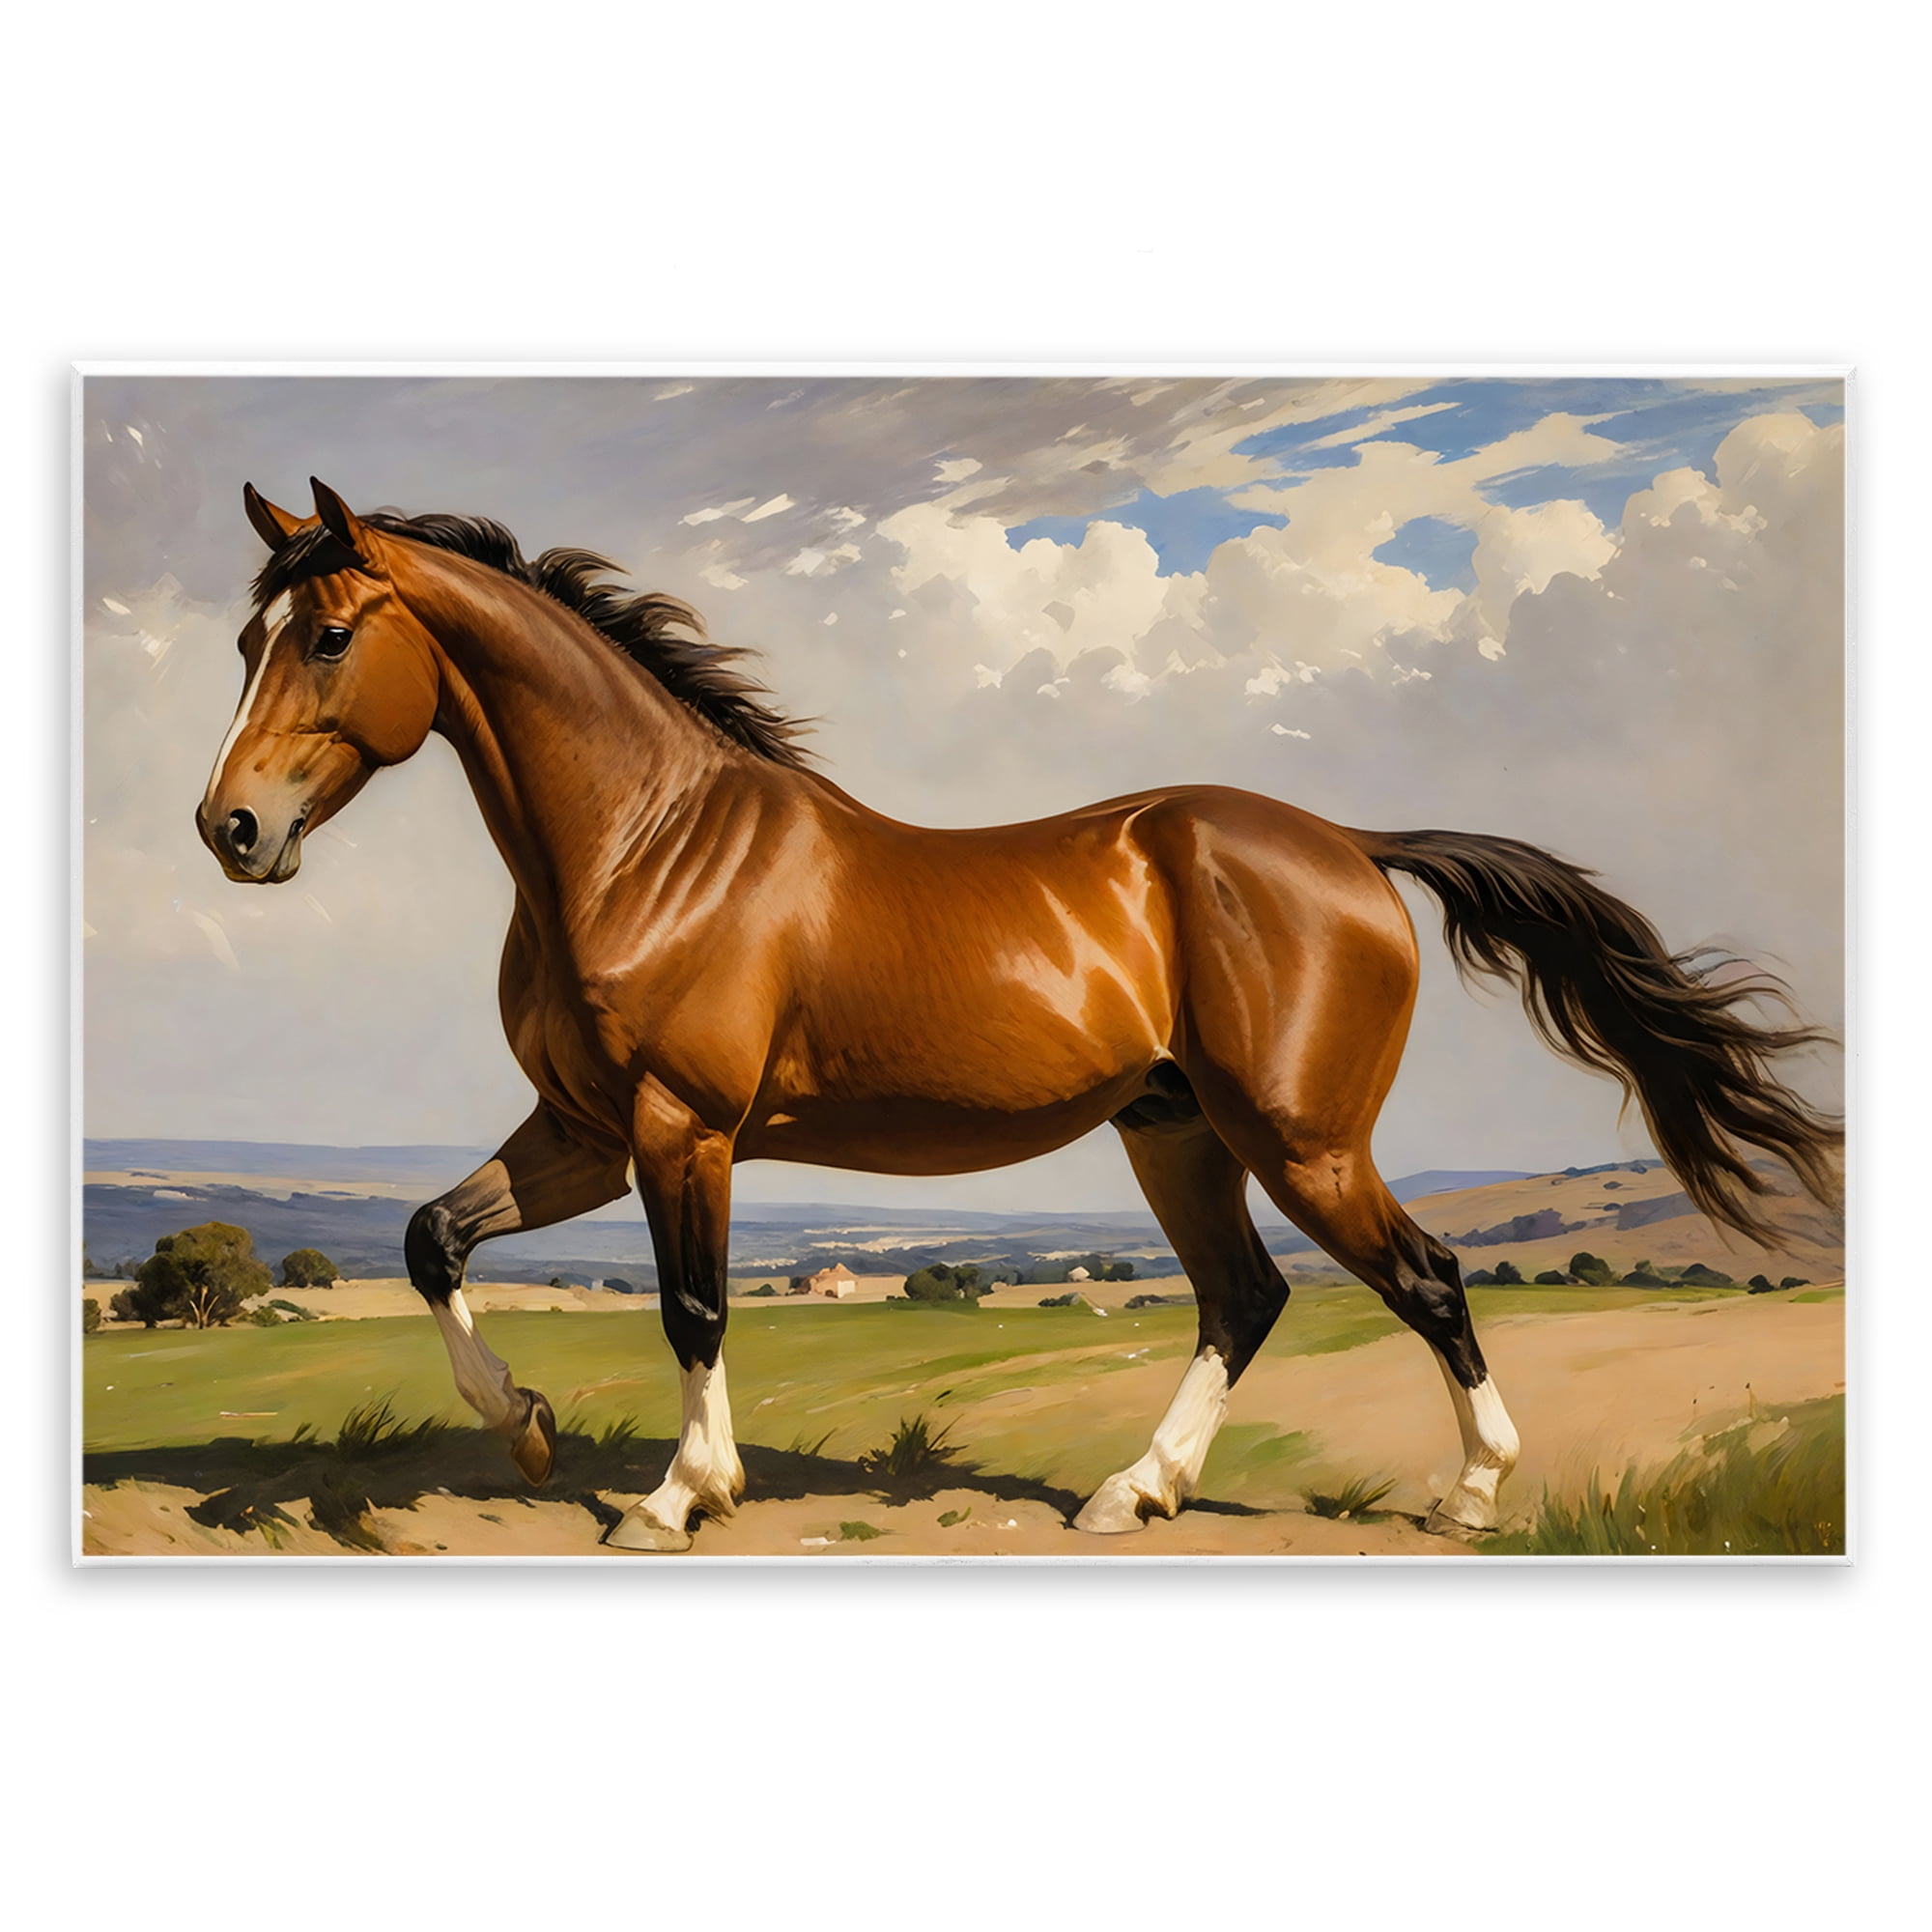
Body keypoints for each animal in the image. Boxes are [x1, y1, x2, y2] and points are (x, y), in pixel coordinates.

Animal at [195, 479, 1843, 1551]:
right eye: (244, 643)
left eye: (328, 636)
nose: (231, 830)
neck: (644, 847)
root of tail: (1352, 849)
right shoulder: (588, 1130)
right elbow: (431, 1240)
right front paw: (530, 1427)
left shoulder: (683, 1132)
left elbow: (694, 1306)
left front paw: (677, 1497)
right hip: (1178, 1135)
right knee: (1244, 1300)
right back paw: (1133, 1494)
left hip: (1301, 1140)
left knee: (1426, 1279)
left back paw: (1473, 1495)